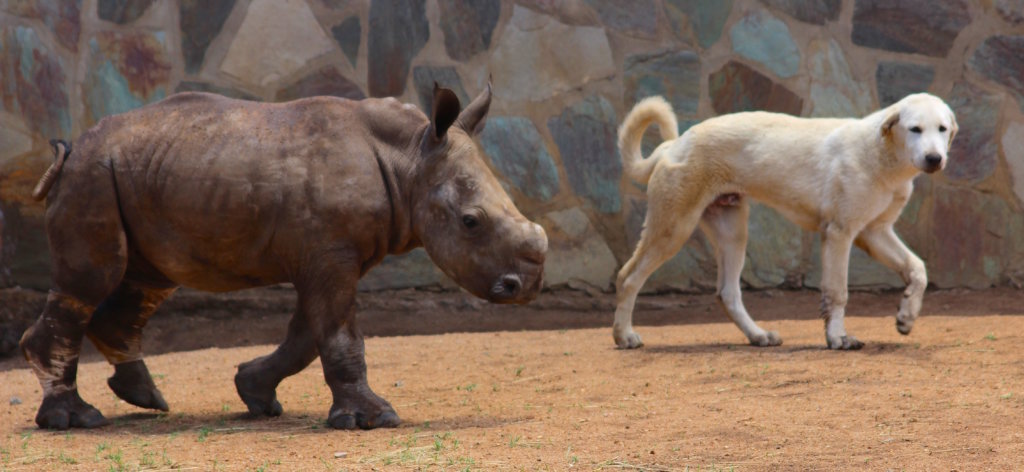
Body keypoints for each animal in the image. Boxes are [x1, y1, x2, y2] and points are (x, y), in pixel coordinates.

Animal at [20, 83, 547, 430]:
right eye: (471, 222)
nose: (525, 288)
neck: (411, 161)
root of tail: (70, 149)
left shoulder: (330, 254)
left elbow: (307, 335)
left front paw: (254, 393)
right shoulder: (331, 253)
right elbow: (338, 335)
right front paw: (373, 419)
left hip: (133, 176)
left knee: (145, 280)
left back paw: (146, 398)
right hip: (93, 176)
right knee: (91, 281)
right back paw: (76, 420)